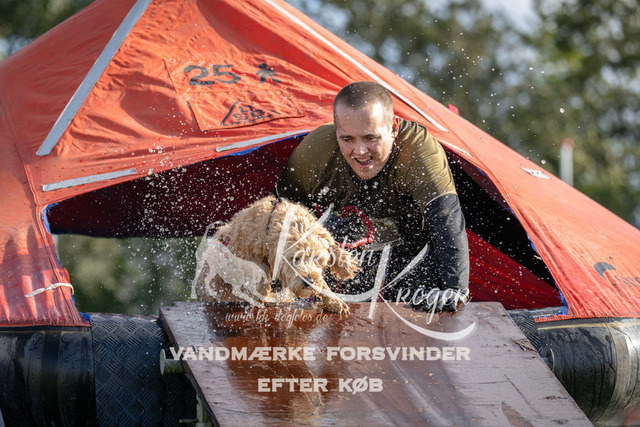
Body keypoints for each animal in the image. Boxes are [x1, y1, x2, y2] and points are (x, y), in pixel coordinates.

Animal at [195, 196, 358, 314]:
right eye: (295, 258)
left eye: (317, 259)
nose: (308, 282)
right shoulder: (246, 254)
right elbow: (258, 270)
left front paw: (333, 300)